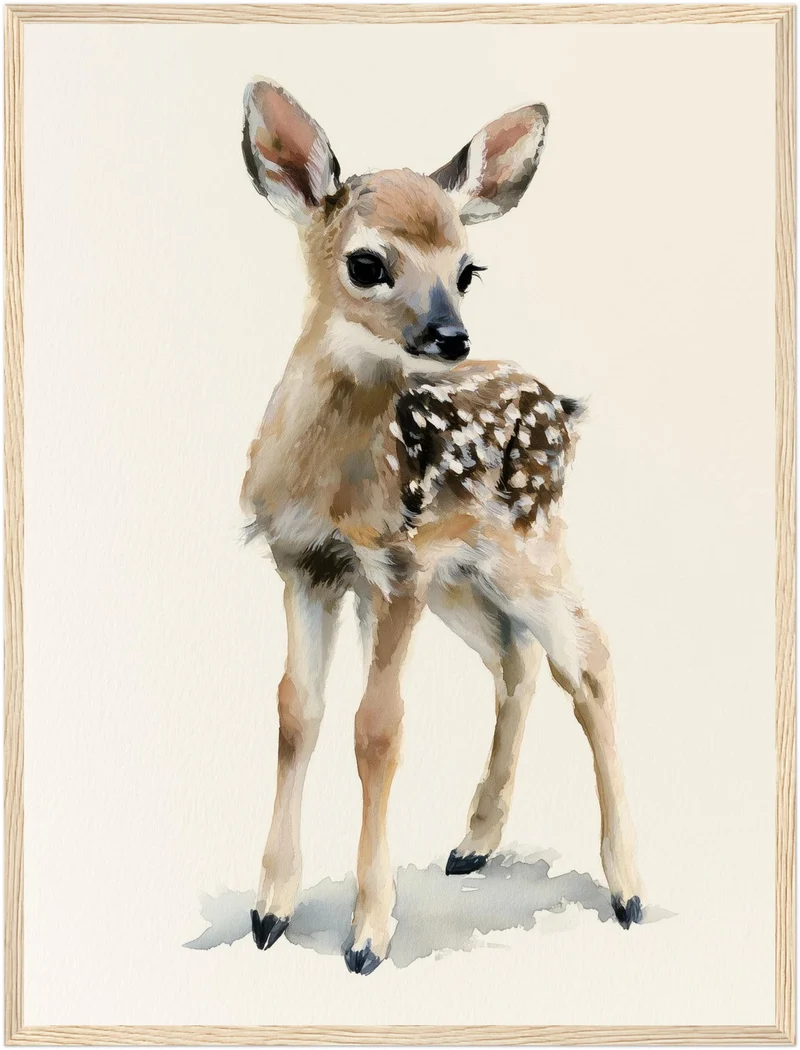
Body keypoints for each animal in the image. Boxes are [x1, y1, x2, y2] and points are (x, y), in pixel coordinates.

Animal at [240, 78, 644, 975]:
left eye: (468, 268)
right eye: (367, 262)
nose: (450, 336)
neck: (331, 480)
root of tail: (560, 406)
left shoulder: (391, 570)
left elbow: (377, 729)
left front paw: (368, 935)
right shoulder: (304, 565)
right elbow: (295, 713)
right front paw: (269, 911)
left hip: (525, 547)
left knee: (589, 661)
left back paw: (629, 889)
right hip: (460, 578)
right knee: (514, 661)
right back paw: (475, 841)